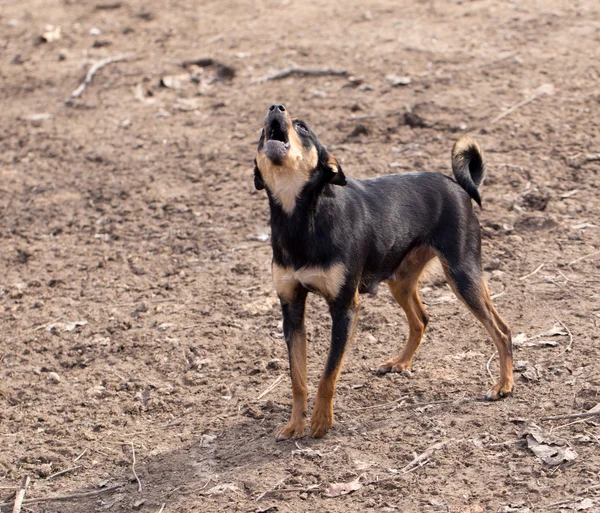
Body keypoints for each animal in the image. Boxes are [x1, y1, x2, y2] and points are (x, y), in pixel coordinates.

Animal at [251, 104, 512, 440]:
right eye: (260, 134)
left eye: (303, 127)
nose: (275, 107)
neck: (300, 218)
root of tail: (456, 184)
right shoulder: (292, 309)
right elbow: (298, 378)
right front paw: (296, 424)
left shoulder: (345, 308)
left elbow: (327, 374)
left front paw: (321, 422)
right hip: (400, 281)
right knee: (421, 319)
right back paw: (400, 363)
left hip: (463, 274)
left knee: (501, 329)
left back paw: (504, 385)